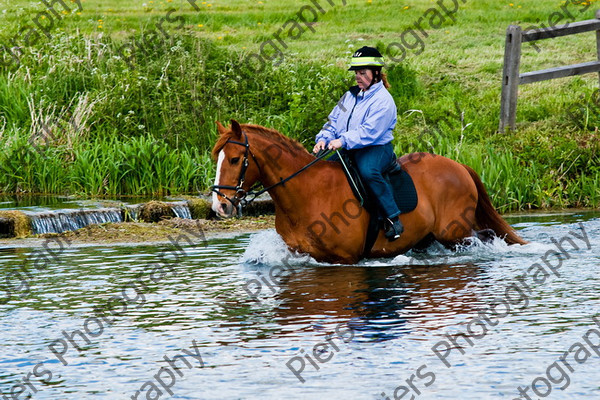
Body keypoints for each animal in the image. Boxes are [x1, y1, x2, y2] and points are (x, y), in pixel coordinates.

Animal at [212, 119, 524, 262]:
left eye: (235, 160)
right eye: (216, 157)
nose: (220, 206)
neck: (306, 194)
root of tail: (459, 166)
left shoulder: (346, 260)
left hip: (455, 231)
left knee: (485, 236)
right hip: (431, 236)